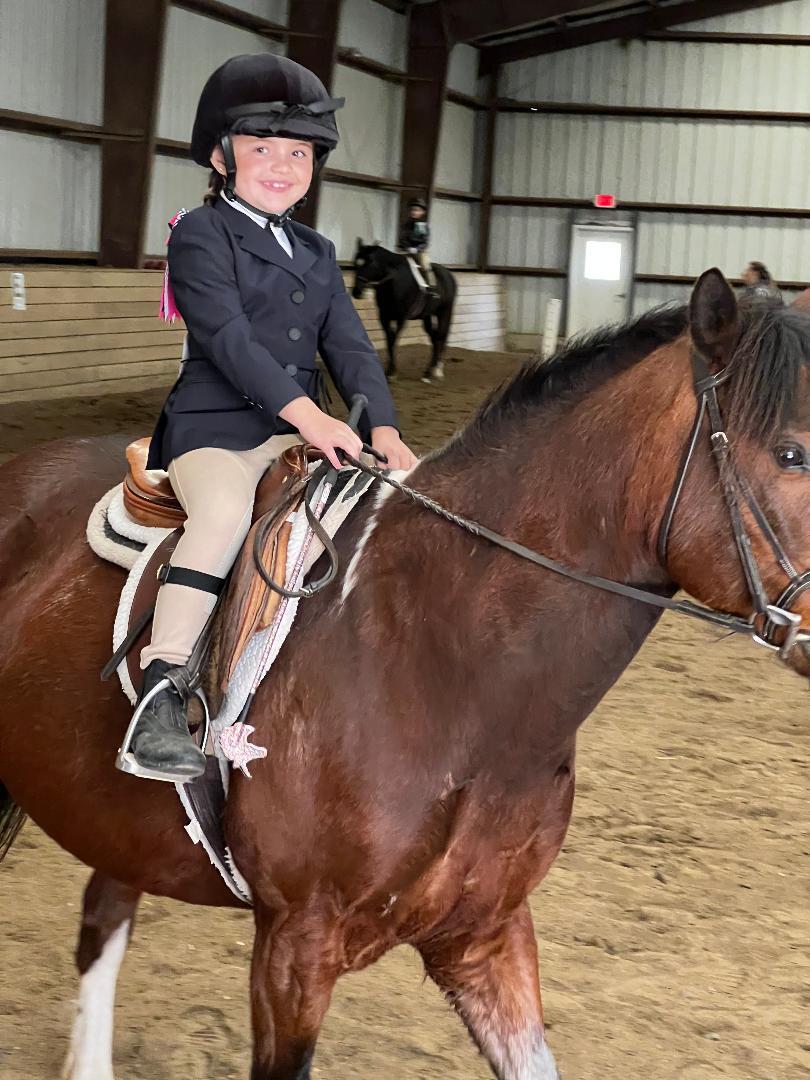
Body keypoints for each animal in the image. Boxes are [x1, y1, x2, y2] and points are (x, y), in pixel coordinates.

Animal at [354, 240, 460, 384]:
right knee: (434, 337)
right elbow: (389, 340)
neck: (393, 279)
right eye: (356, 262)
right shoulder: (384, 316)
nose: (356, 292)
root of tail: (449, 275)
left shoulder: (401, 317)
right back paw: (430, 372)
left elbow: (393, 339)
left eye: (370, 263)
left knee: (440, 336)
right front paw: (389, 372)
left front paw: (392, 373)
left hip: (444, 312)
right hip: (426, 316)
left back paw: (433, 372)